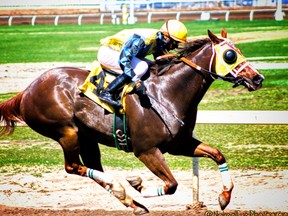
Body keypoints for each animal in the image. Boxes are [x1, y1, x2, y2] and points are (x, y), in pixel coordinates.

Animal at [0, 30, 264, 214]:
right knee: (73, 167)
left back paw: (129, 201)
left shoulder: (179, 144)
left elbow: (217, 154)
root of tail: (26, 91)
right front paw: (138, 185)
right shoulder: (146, 150)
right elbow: (171, 184)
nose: (257, 78)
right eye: (230, 55)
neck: (166, 92)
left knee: (90, 167)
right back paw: (122, 188)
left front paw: (225, 197)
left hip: (87, 137)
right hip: (67, 132)